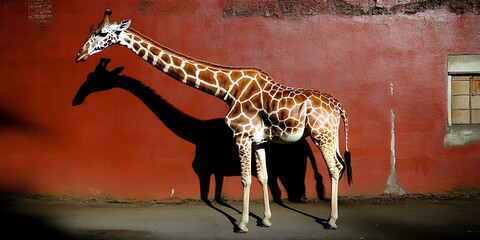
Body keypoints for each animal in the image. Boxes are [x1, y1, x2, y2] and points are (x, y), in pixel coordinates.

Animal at [76, 9, 352, 232]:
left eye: (102, 33)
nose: (79, 55)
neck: (227, 89)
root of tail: (339, 107)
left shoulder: (239, 137)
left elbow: (242, 180)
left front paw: (242, 224)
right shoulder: (258, 140)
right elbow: (262, 177)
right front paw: (265, 220)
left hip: (321, 135)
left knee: (334, 168)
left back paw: (331, 221)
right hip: (331, 136)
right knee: (337, 166)